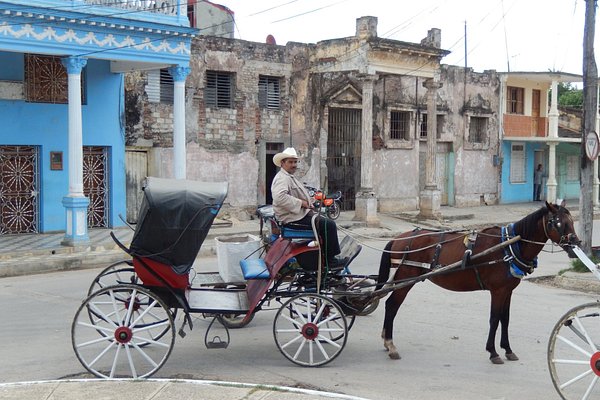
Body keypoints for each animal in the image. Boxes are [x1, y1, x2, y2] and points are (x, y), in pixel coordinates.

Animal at [378, 202, 580, 364]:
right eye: (559, 223)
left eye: (571, 221)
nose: (577, 243)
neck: (509, 246)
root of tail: (398, 239)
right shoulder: (497, 291)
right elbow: (494, 319)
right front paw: (493, 352)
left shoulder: (508, 291)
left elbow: (505, 319)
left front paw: (508, 350)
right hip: (405, 279)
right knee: (392, 305)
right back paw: (390, 344)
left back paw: (387, 342)